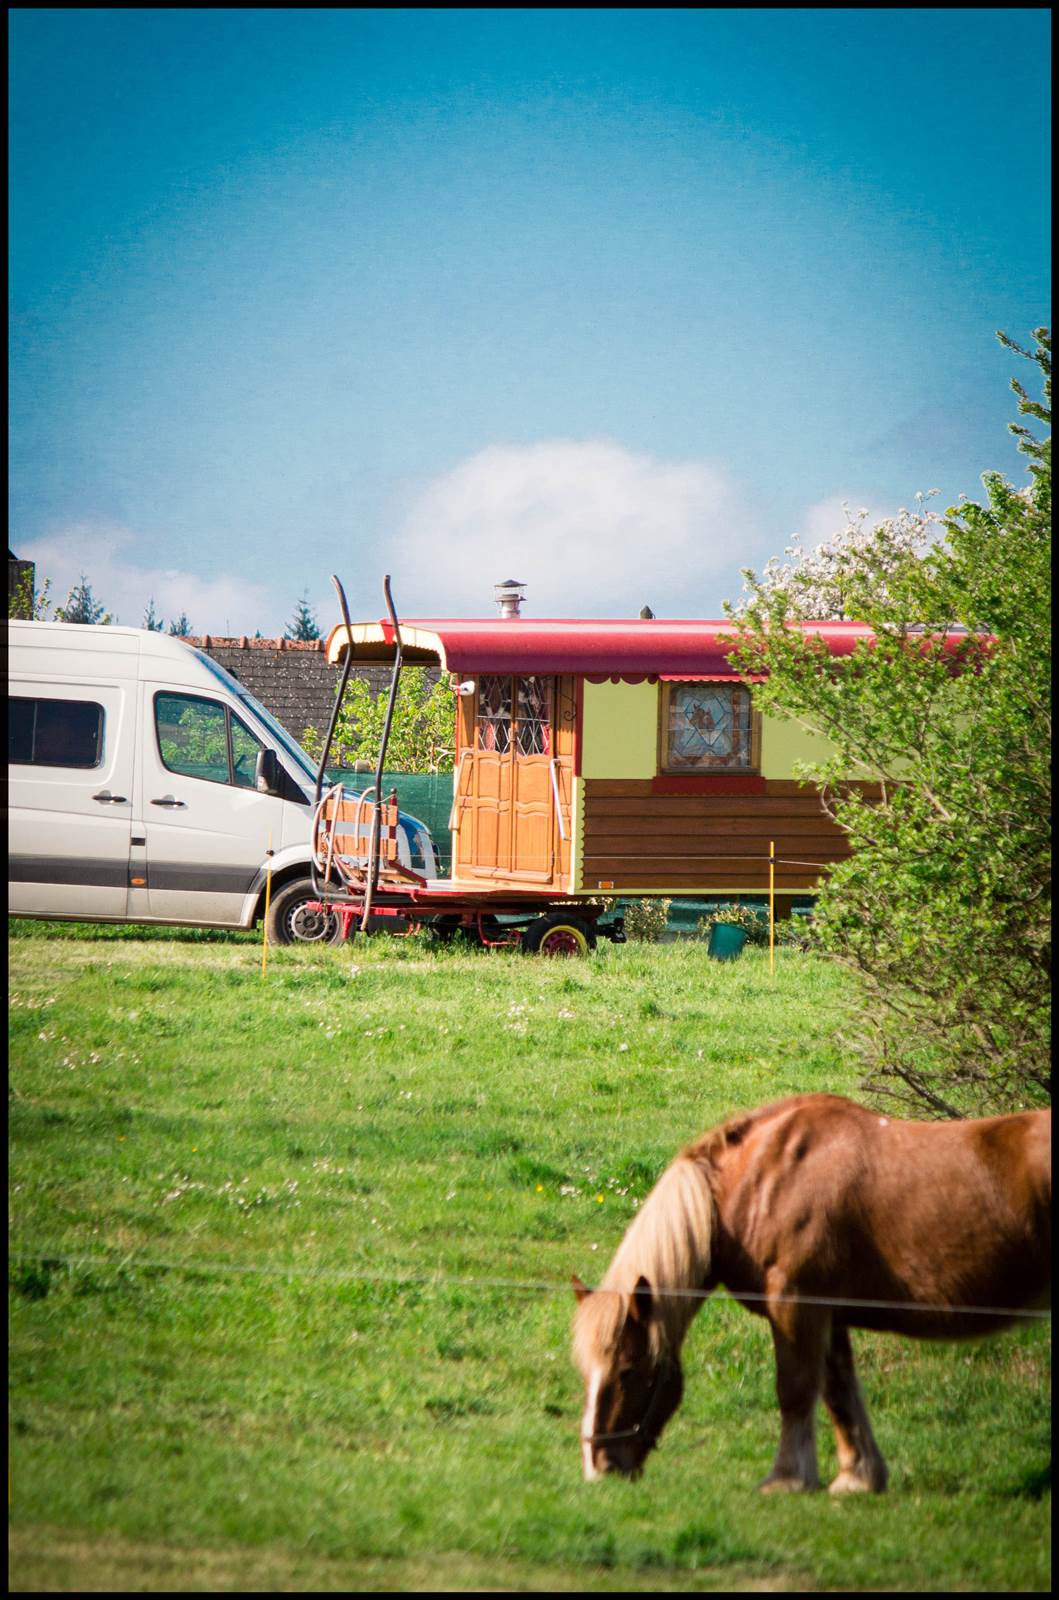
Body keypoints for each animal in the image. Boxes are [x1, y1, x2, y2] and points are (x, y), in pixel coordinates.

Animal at [575, 1094, 1049, 1491]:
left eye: (629, 1370)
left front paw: (787, 1479)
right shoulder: (827, 1313)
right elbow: (838, 1390)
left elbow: (796, 1389)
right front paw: (858, 1477)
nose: (599, 1467)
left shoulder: (795, 1305)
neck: (762, 1178)